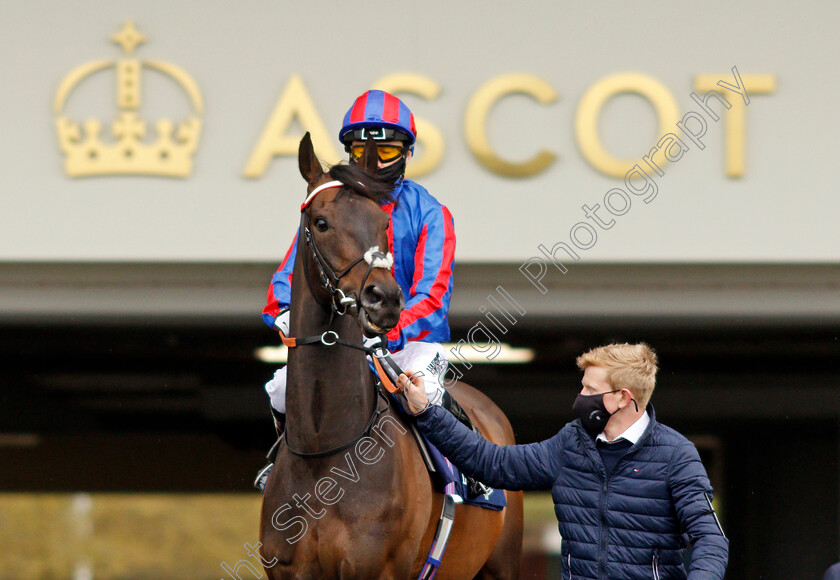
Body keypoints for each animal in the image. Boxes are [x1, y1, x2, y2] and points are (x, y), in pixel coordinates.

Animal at [260, 134, 524, 576]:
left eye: (383, 223)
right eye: (321, 222)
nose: (383, 299)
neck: (325, 453)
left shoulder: (378, 570)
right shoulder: (286, 571)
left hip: (502, 564)